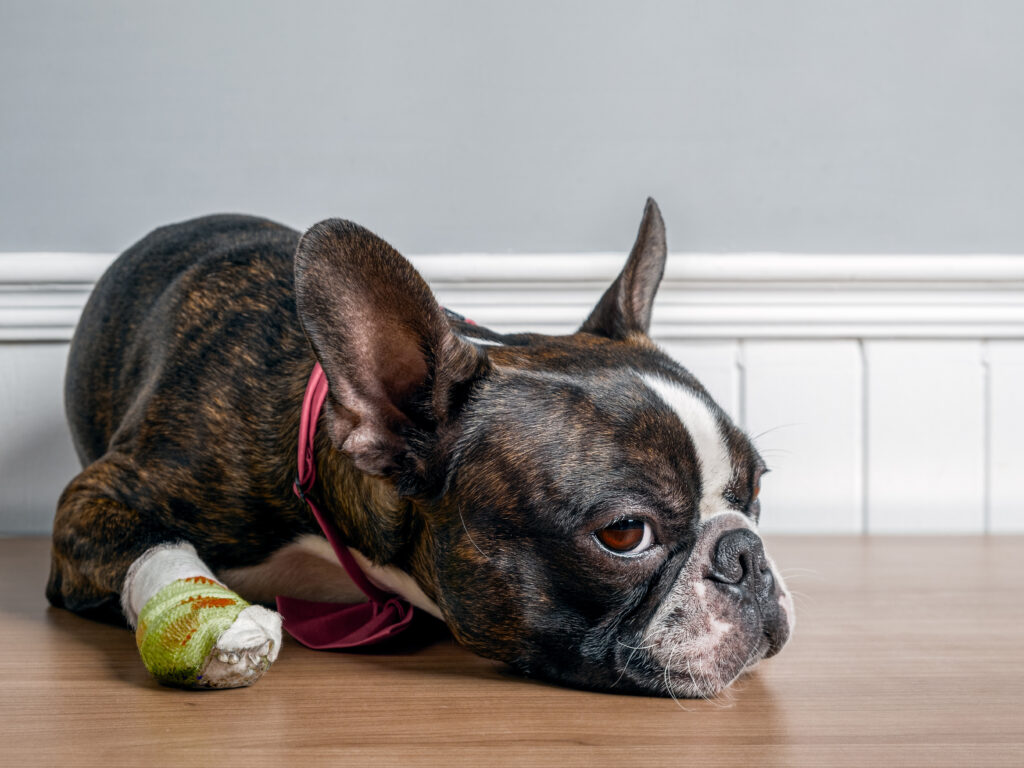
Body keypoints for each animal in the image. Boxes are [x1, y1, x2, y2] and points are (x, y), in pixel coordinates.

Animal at [46, 198, 790, 696]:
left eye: (757, 492)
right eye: (625, 534)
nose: (745, 554)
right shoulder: (99, 495)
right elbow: (157, 543)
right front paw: (222, 630)